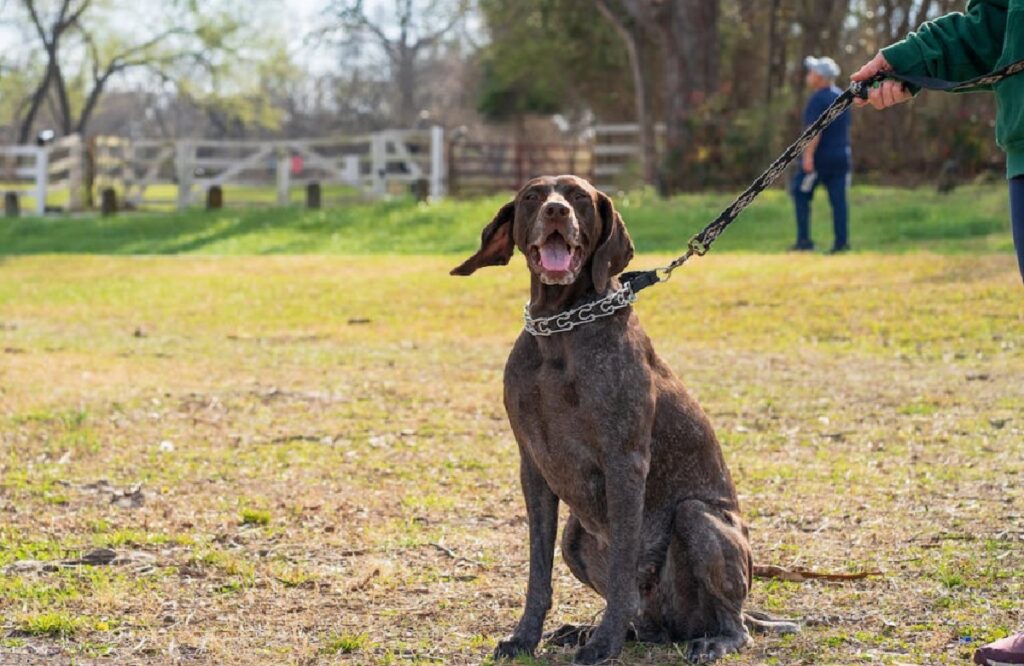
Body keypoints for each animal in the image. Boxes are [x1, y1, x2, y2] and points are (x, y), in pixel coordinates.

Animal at [452, 176, 786, 663]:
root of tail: (676, 626)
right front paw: (525, 638)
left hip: (699, 518)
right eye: (533, 196)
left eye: (579, 197)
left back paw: (710, 640)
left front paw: (603, 644)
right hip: (576, 537)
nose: (556, 211)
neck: (561, 327)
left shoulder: (625, 462)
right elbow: (538, 572)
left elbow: (623, 561)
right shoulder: (532, 468)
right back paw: (595, 630)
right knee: (641, 616)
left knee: (733, 621)